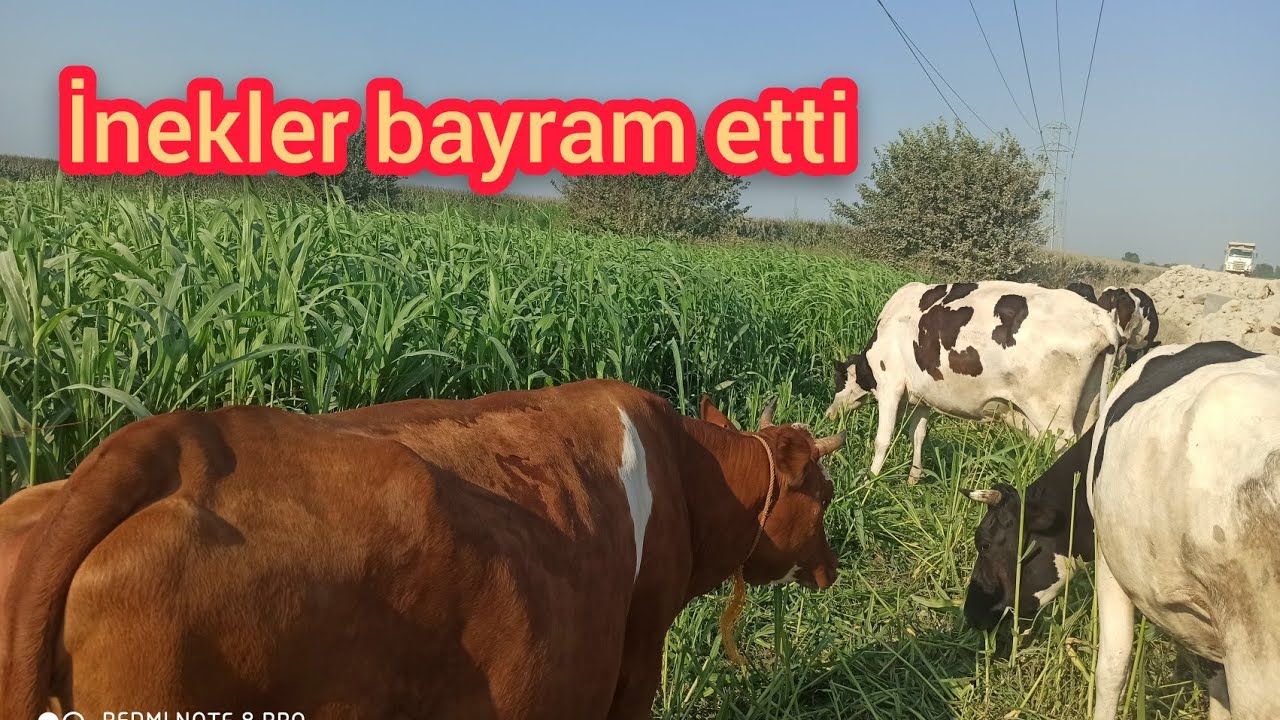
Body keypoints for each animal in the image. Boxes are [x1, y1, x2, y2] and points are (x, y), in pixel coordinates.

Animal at [825, 280, 1121, 484]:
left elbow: (882, 439)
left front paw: (868, 480)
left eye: (838, 380)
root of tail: (1098, 315)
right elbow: (918, 435)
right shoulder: (923, 397)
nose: (829, 413)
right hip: (1087, 408)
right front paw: (913, 478)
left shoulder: (890, 385)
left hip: (1052, 417)